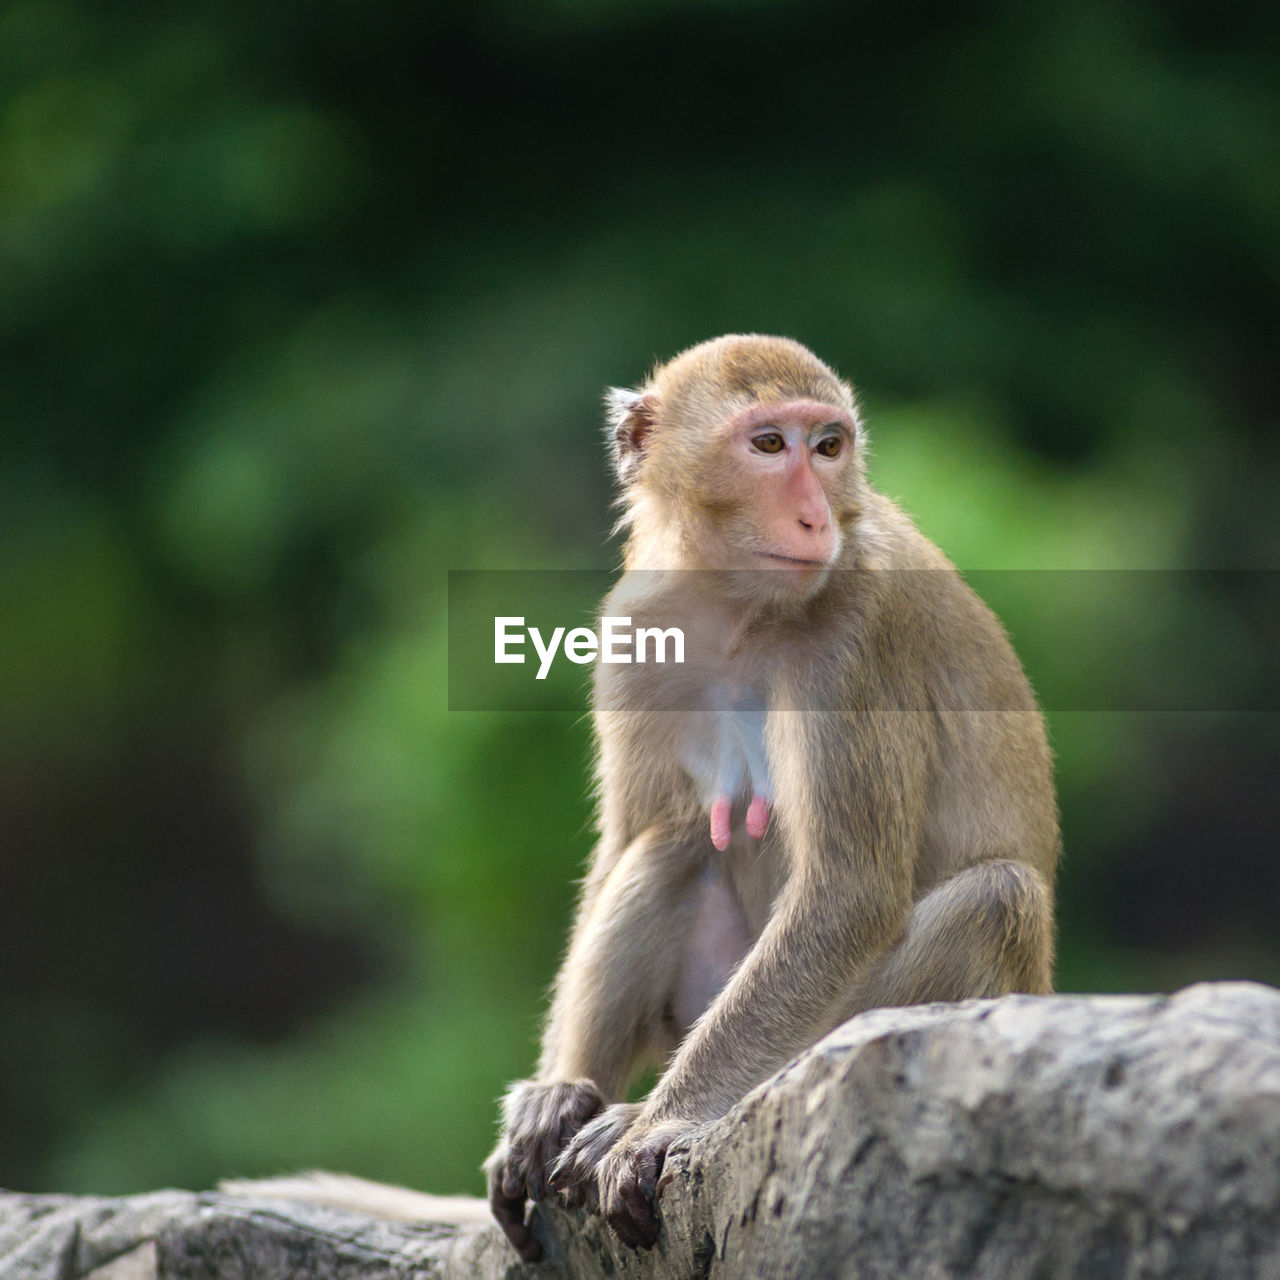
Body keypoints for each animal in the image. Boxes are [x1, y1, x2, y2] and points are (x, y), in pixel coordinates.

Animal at [483, 332, 1054, 1259]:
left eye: (827, 447)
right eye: (767, 445)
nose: (816, 517)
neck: (739, 609)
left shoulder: (855, 638)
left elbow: (849, 892)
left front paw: (655, 1124)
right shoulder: (634, 628)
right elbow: (624, 842)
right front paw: (556, 1092)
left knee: (996, 897)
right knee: (674, 842)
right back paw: (576, 1101)